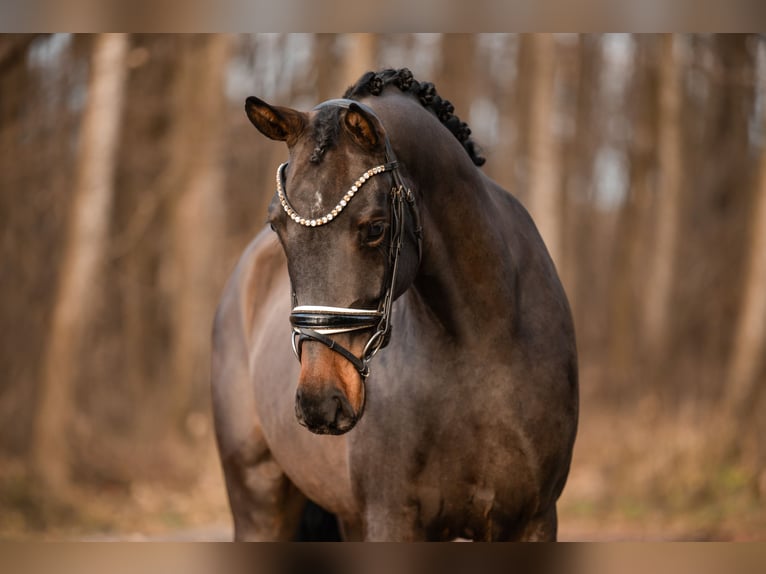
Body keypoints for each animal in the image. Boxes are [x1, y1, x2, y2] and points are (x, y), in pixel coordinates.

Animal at [212, 68, 578, 541]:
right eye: (277, 226)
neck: (484, 347)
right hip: (258, 502)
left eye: (375, 228)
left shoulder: (533, 520)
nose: (319, 402)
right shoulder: (391, 520)